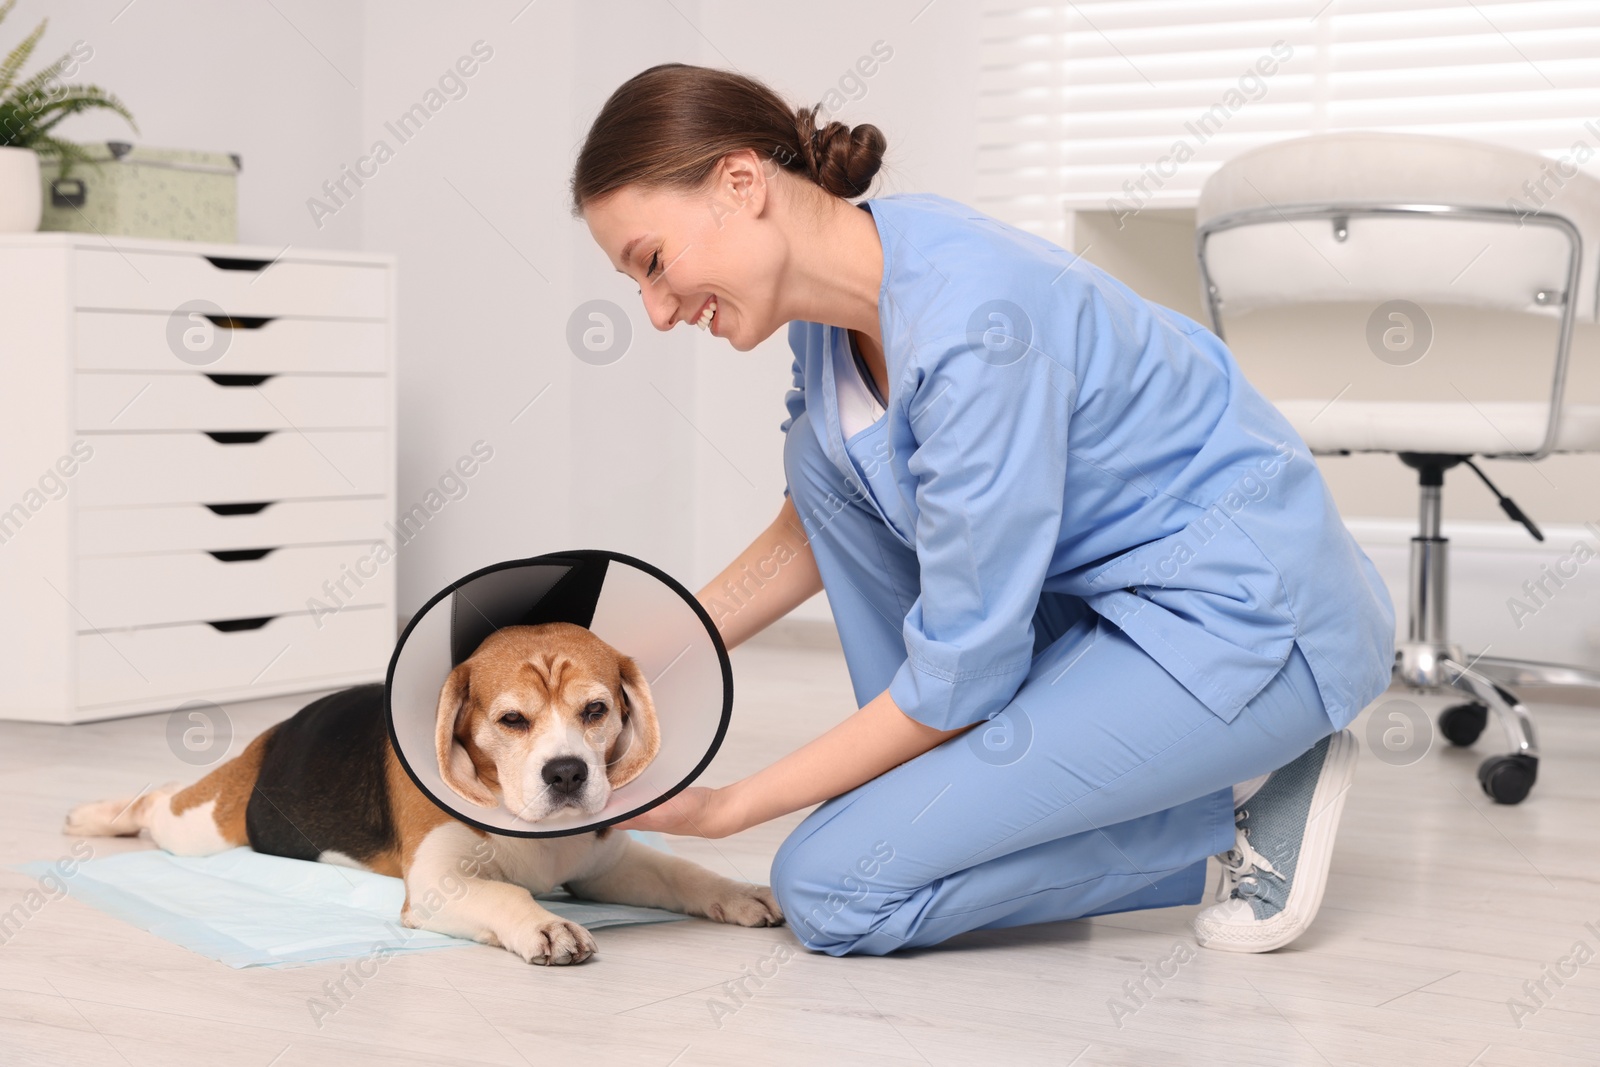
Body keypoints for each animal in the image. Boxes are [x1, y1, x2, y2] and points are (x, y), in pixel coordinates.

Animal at [68, 620, 780, 966]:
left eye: (597, 710)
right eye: (512, 720)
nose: (567, 774)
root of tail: (282, 728)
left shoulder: (607, 863)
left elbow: (681, 873)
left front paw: (738, 892)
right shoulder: (439, 882)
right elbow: (507, 893)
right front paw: (545, 925)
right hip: (206, 827)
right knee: (156, 801)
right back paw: (93, 814)